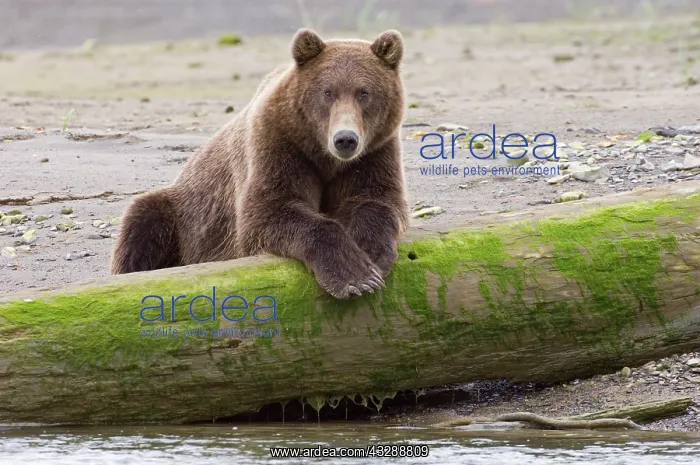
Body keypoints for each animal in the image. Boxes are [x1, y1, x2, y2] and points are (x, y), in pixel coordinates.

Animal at [110, 28, 410, 300]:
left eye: (364, 93)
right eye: (328, 92)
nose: (345, 139)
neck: (323, 156)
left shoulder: (374, 152)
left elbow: (375, 200)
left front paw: (371, 254)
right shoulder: (278, 145)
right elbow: (269, 211)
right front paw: (354, 276)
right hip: (184, 218)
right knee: (143, 221)